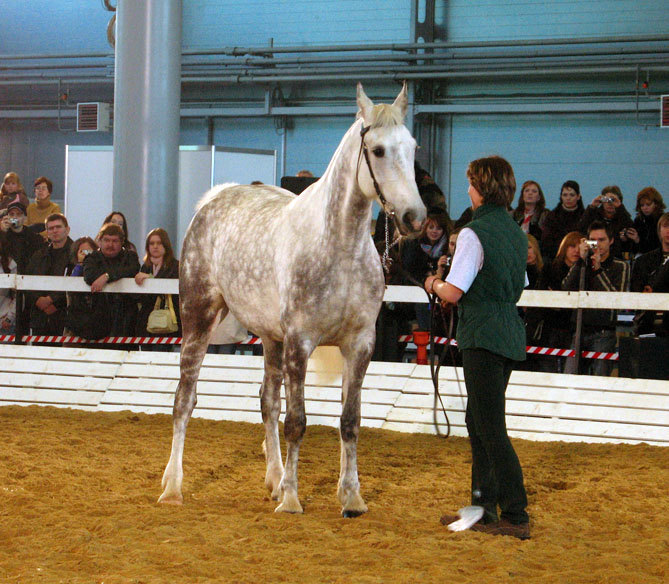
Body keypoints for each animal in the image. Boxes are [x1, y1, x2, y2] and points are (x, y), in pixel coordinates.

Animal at [159, 83, 426, 516]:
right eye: (378, 150)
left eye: (413, 147)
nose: (415, 218)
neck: (338, 246)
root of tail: (214, 200)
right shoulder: (301, 343)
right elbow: (298, 422)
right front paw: (291, 499)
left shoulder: (359, 345)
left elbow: (349, 421)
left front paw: (351, 496)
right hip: (198, 319)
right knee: (185, 401)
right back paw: (173, 487)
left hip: (271, 339)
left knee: (267, 401)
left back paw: (274, 478)